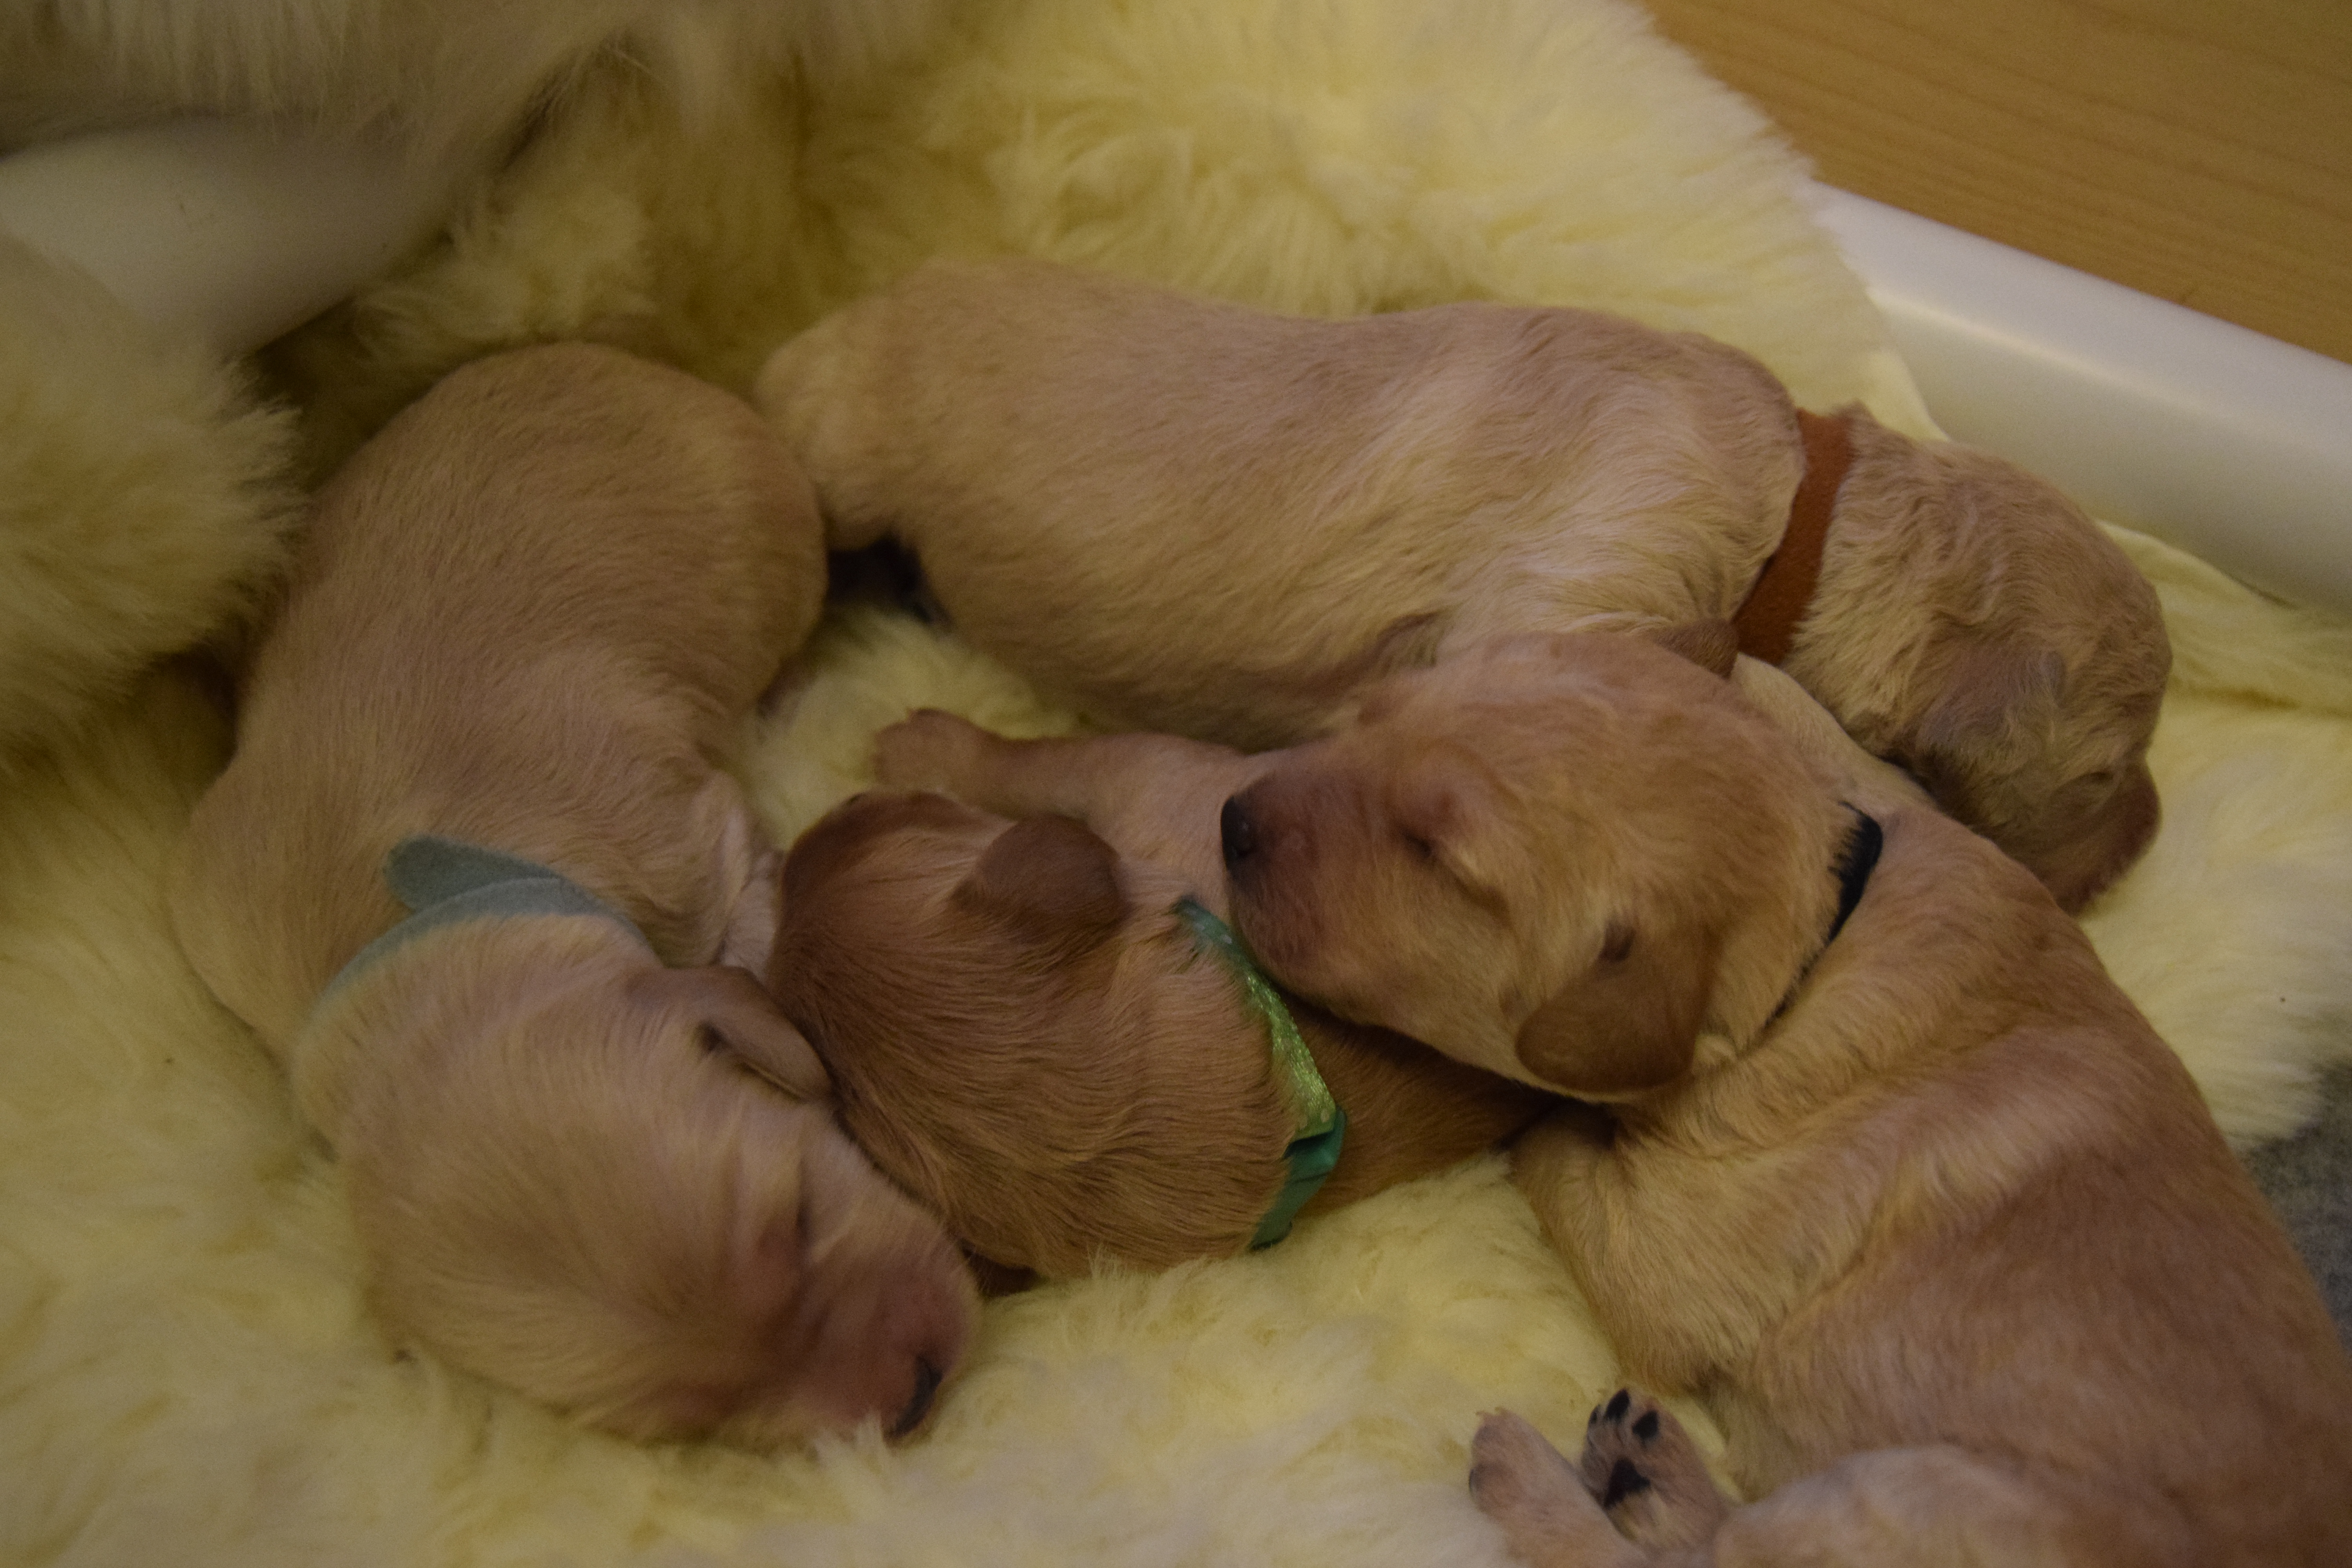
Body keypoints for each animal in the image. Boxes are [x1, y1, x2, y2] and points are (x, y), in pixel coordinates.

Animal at [168, 343, 974, 1448]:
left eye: (800, 1217)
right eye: (688, 1422)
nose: (920, 1391)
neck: (416, 936)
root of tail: (639, 366)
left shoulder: (690, 838)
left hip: (775, 535)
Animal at [753, 256, 2164, 907]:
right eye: (2106, 770)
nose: (2152, 833)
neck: (1797, 509)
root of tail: (849, 310)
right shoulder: (1583, 586)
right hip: (841, 444)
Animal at [762, 719, 1552, 1279]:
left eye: (859, 807)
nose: (798, 841)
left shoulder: (1142, 770)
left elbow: (1036, 759)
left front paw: (919, 744)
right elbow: (1035, 759)